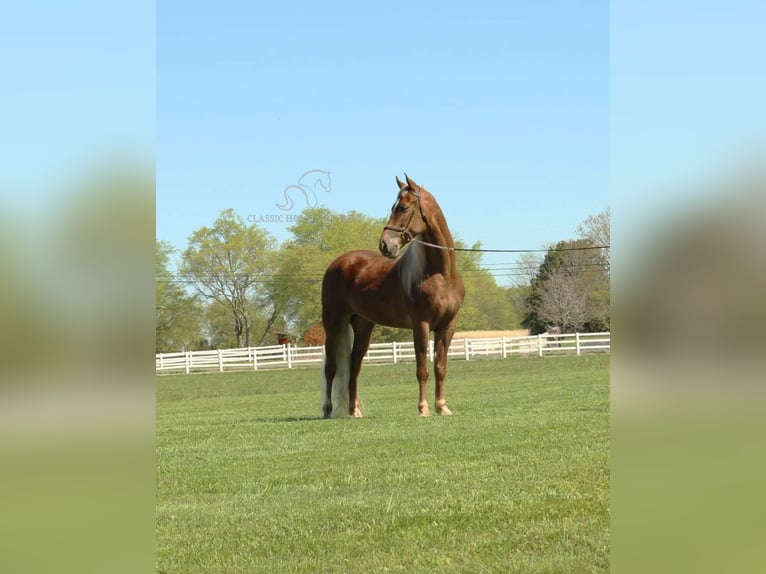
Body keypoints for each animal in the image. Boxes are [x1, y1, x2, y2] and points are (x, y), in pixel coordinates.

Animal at [320, 172, 464, 418]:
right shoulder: (421, 324)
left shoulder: (447, 326)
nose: (385, 245)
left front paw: (442, 406)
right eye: (393, 207)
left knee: (354, 367)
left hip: (363, 326)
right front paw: (423, 408)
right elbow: (422, 369)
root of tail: (338, 263)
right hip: (334, 323)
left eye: (404, 208)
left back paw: (354, 411)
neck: (441, 275)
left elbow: (440, 367)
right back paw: (328, 409)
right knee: (331, 368)